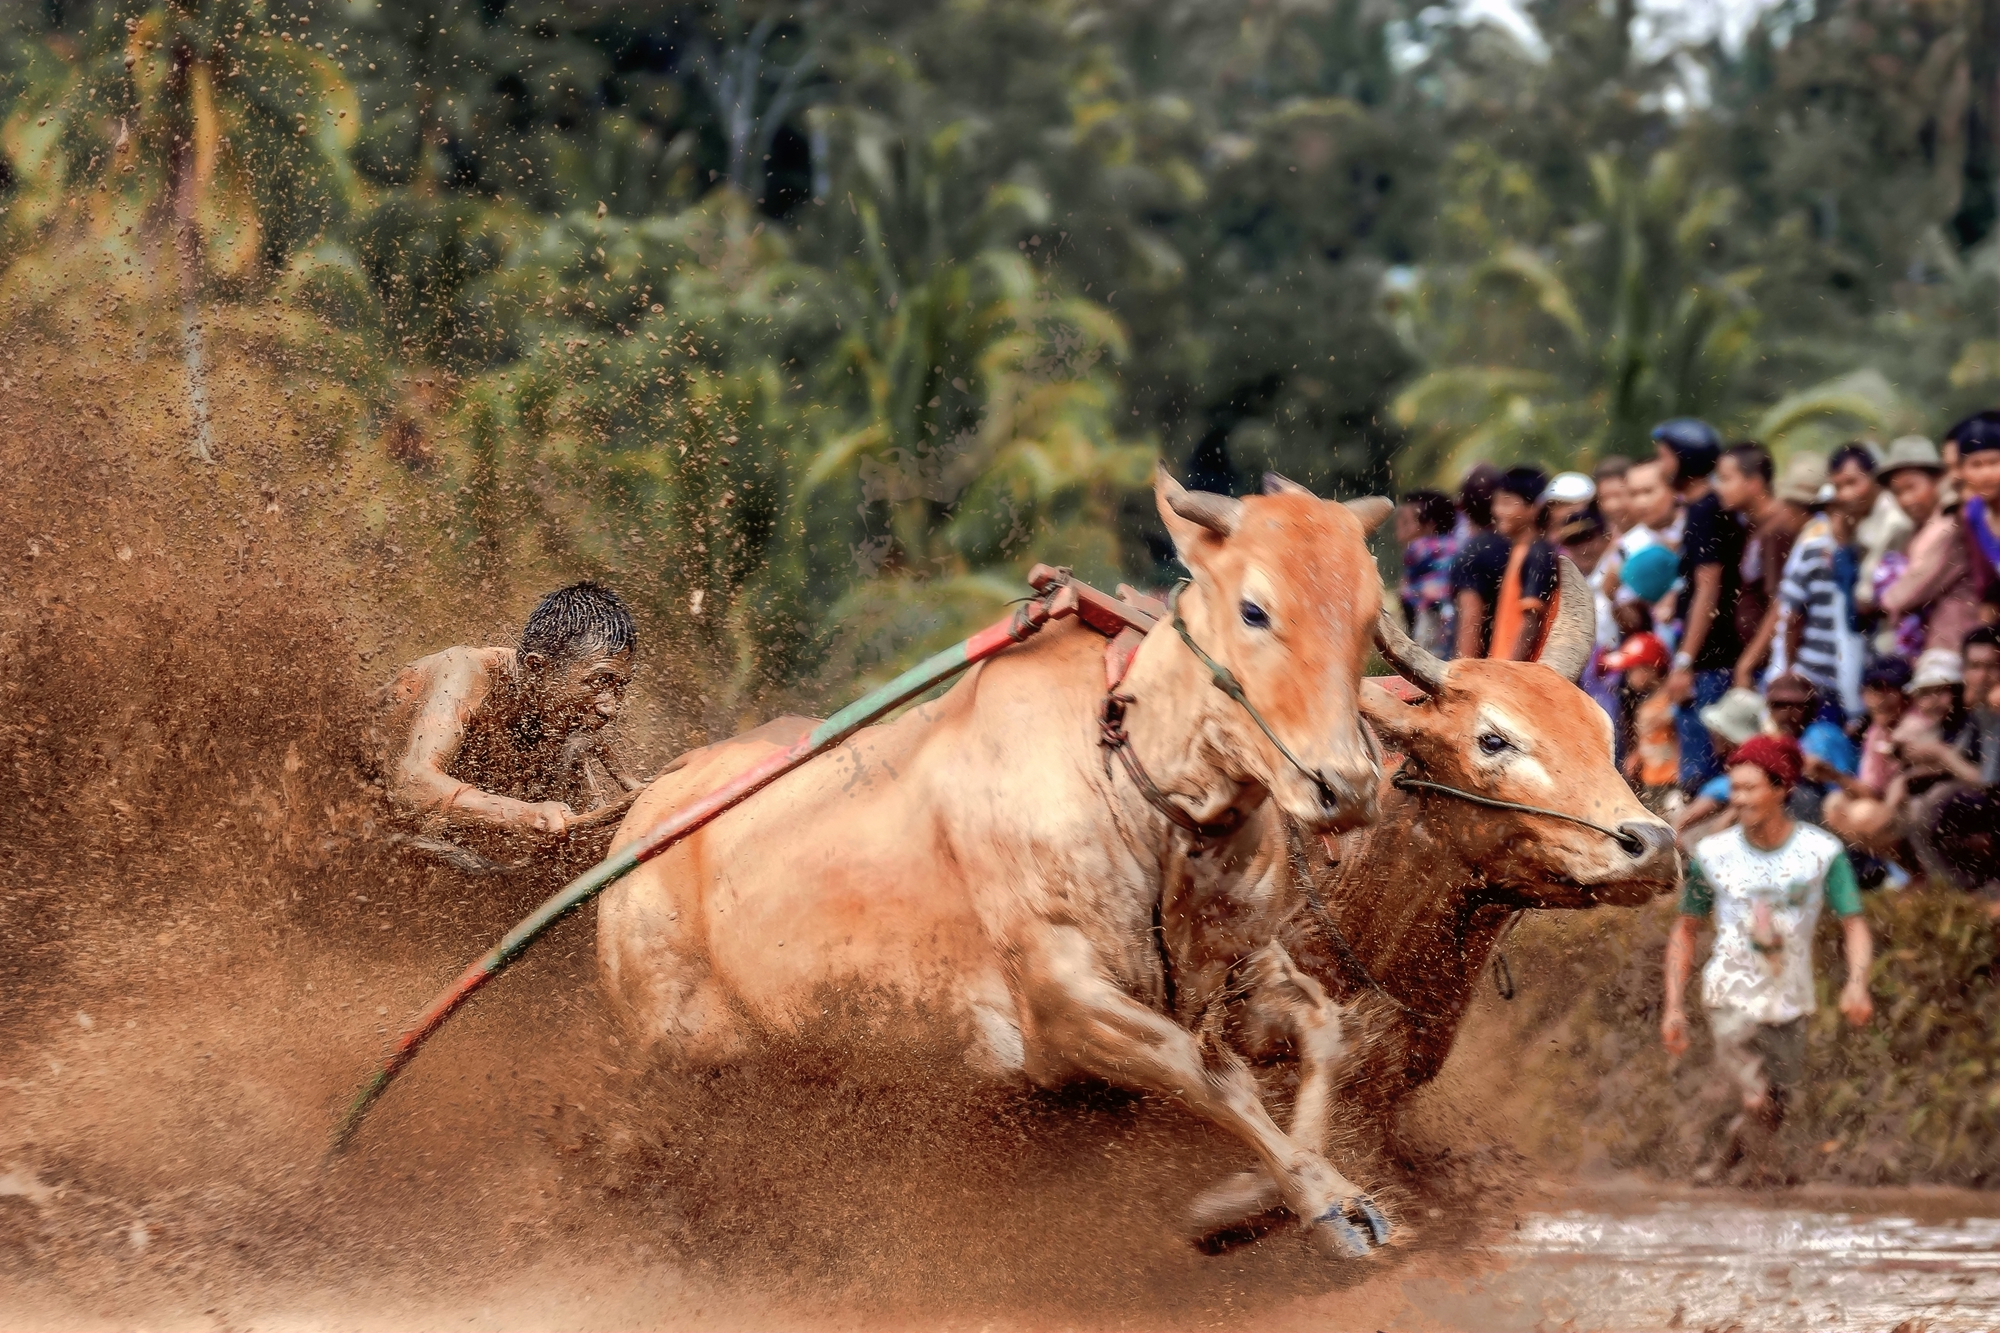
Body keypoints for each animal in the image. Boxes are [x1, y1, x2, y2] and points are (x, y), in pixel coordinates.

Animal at [600, 470, 1400, 1256]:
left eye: (1369, 618)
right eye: (1254, 610)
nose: (1347, 787)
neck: (1130, 772)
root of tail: (644, 812)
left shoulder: (1244, 963)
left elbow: (1325, 1027)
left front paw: (1260, 1199)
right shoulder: (1061, 1001)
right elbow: (1205, 1071)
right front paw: (1322, 1201)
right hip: (669, 1044)